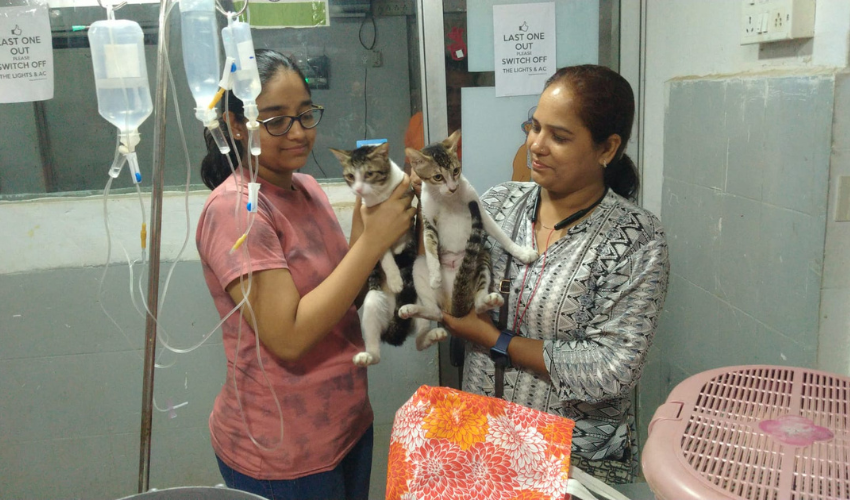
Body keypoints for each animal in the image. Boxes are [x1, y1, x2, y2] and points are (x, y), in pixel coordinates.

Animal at [329, 142, 441, 366]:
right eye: (350, 176)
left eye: (369, 173)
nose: (358, 189)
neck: (380, 195)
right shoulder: (372, 224)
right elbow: (383, 250)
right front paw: (395, 278)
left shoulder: (407, 202)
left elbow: (408, 232)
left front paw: (400, 245)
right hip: (373, 303)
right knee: (376, 347)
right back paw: (367, 356)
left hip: (416, 300)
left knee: (420, 334)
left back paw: (429, 336)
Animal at [399, 130, 538, 329]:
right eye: (437, 177)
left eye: (456, 171)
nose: (452, 188)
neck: (448, 199)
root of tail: (452, 305)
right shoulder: (428, 220)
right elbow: (430, 245)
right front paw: (435, 275)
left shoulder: (479, 211)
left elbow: (501, 235)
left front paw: (522, 253)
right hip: (418, 265)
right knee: (436, 313)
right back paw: (410, 309)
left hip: (482, 257)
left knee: (477, 304)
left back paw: (488, 301)